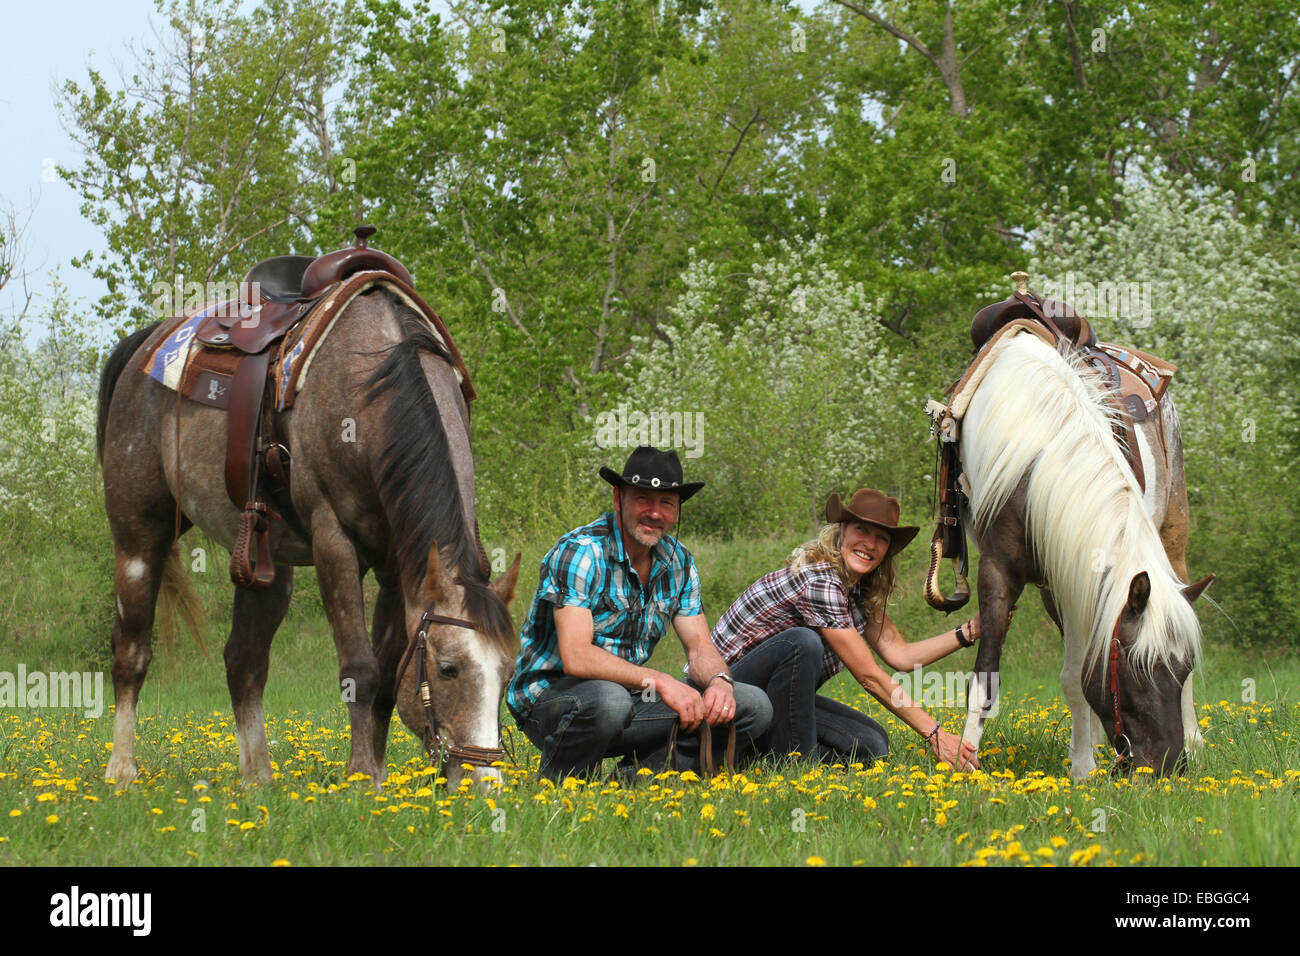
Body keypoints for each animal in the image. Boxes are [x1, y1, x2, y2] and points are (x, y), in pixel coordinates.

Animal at [94, 287, 517, 790]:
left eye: (508, 673)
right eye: (449, 669)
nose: (484, 782)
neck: (371, 383)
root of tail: (147, 343)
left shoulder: (398, 566)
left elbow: (386, 680)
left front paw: (375, 777)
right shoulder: (334, 543)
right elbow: (360, 671)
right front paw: (362, 779)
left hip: (265, 567)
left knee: (244, 662)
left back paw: (257, 777)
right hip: (138, 537)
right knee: (132, 651)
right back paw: (122, 771)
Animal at [956, 329, 1206, 780]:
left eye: (1182, 668)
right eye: (1135, 667)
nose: (1167, 767)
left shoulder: (1077, 581)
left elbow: (1076, 677)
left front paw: (1083, 767)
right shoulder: (1003, 571)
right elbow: (987, 676)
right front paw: (965, 760)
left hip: (1173, 543)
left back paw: (1193, 737)